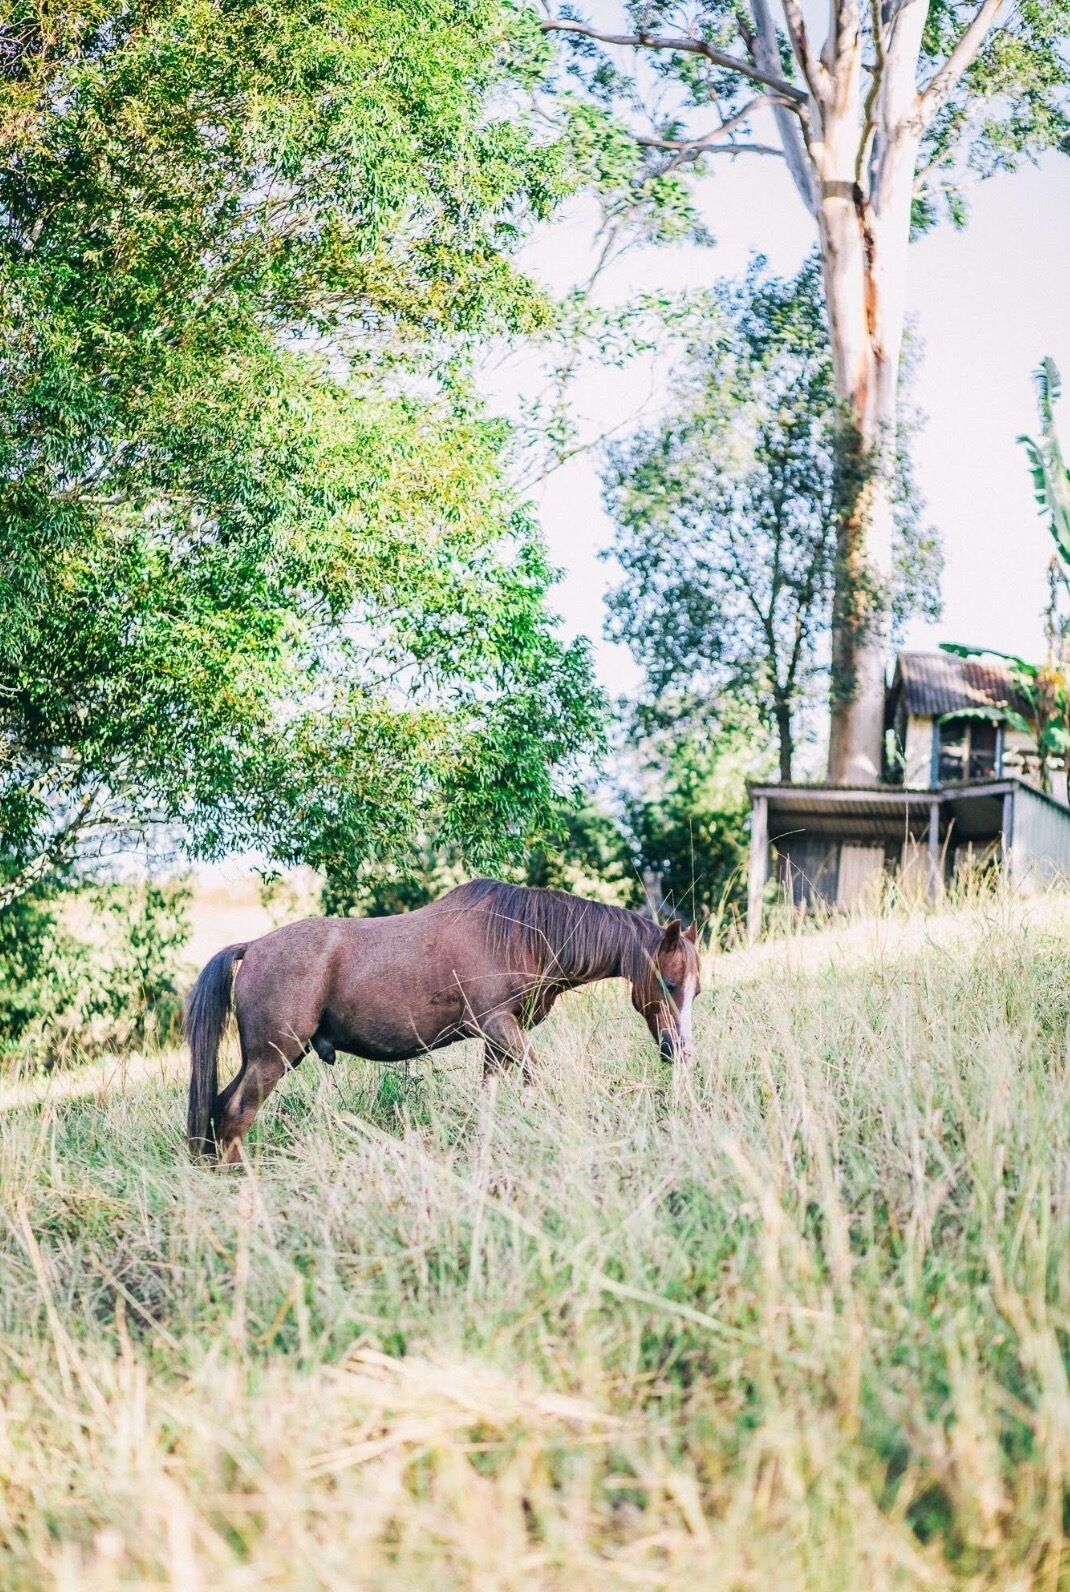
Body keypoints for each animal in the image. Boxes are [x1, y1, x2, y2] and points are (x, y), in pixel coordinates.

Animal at [186, 878, 700, 1165]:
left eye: (697, 990)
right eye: (670, 982)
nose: (678, 1050)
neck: (520, 934)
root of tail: (253, 946)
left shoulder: (497, 1040)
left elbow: (490, 1098)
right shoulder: (500, 1027)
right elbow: (536, 1080)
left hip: (263, 1059)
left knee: (219, 1108)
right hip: (273, 1058)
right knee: (235, 1114)